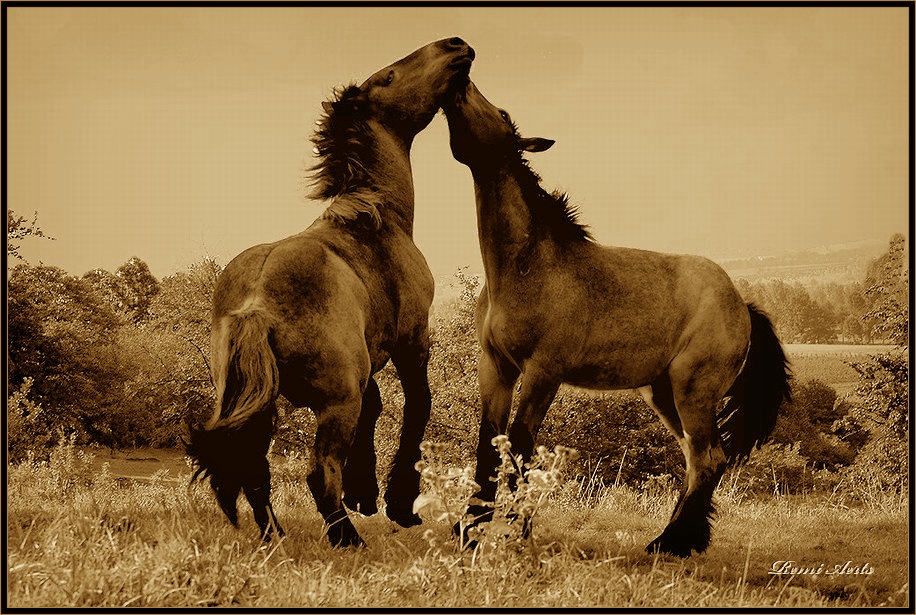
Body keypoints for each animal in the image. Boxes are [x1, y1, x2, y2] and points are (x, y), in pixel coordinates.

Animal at [185, 38, 472, 548]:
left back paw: (277, 537)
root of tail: (256, 305)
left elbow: (377, 406)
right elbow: (418, 405)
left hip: (257, 403)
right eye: (391, 75)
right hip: (335, 403)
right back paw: (348, 540)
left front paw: (367, 491)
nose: (455, 45)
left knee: (255, 472)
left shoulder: (368, 359)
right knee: (319, 473)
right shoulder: (412, 339)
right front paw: (397, 502)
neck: (376, 218)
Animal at [442, 82, 788, 560]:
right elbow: (490, 446)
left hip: (692, 392)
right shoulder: (496, 368)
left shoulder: (542, 373)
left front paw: (514, 531)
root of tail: (743, 305)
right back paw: (676, 539)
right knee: (696, 459)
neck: (527, 268)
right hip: (662, 393)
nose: (459, 83)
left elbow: (521, 447)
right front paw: (470, 529)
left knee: (708, 459)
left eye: (502, 112)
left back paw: (673, 542)